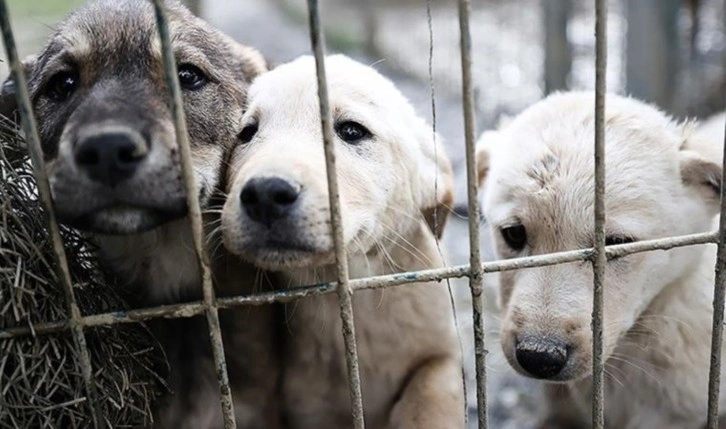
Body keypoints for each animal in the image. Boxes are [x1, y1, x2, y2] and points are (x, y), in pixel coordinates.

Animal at [219, 55, 466, 426]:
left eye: (352, 131)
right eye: (246, 133)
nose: (264, 194)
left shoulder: (443, 352)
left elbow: (432, 393)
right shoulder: (307, 405)